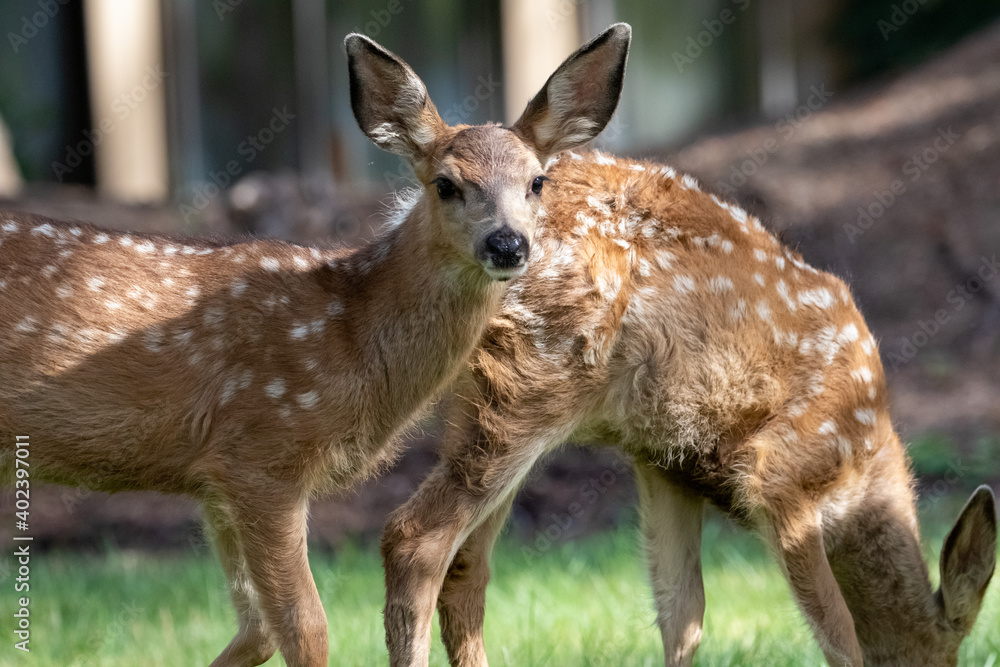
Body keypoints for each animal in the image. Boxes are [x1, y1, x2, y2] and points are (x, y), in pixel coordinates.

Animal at [0, 26, 624, 667]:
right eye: (446, 184)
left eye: (537, 181)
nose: (507, 244)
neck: (350, 336)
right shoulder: (263, 453)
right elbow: (306, 630)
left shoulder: (213, 479)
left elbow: (256, 633)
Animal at [380, 141, 992, 664]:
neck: (865, 460)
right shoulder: (785, 473)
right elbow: (840, 637)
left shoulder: (664, 465)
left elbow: (683, 614)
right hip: (538, 381)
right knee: (415, 540)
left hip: (484, 398)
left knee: (467, 568)